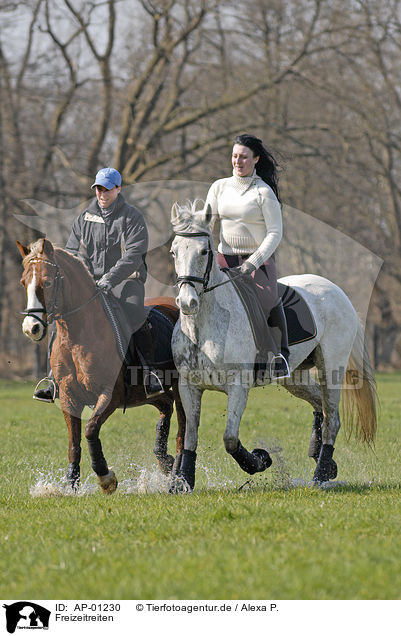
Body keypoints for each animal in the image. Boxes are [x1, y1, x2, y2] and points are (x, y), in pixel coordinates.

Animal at [16, 238, 184, 492]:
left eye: (48, 281)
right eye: (24, 282)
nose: (31, 328)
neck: (77, 336)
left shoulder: (109, 395)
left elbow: (90, 429)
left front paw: (105, 477)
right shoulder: (69, 398)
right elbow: (74, 443)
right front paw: (71, 485)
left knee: (184, 429)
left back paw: (177, 476)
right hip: (146, 394)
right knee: (166, 405)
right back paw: (164, 460)